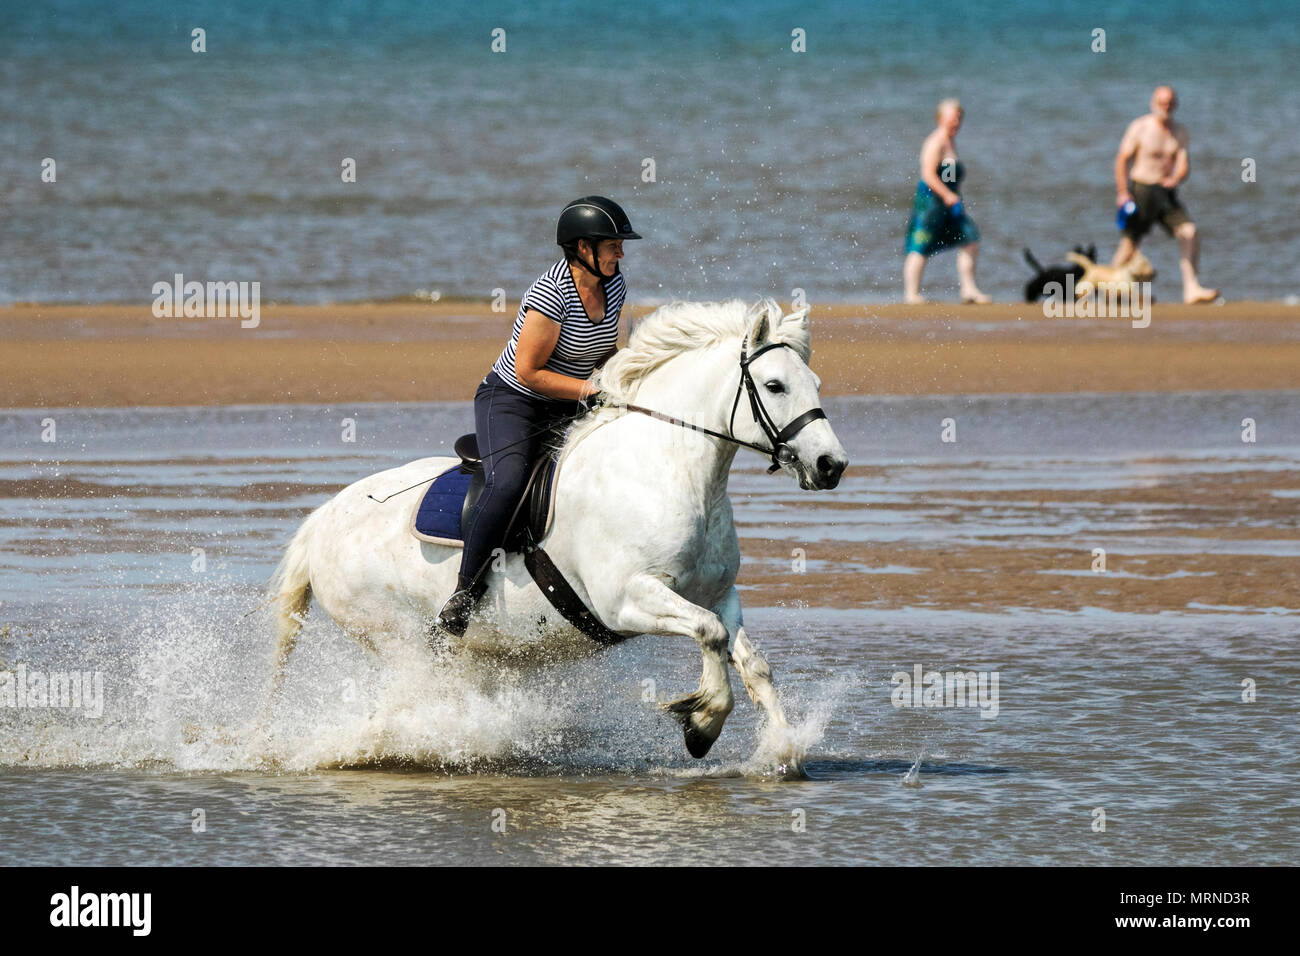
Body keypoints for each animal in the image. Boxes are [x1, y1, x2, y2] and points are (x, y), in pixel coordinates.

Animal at [269, 297, 847, 764]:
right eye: (774, 385)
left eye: (816, 384)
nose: (831, 465)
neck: (667, 468)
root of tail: (322, 522)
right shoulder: (626, 600)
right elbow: (710, 633)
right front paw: (702, 724)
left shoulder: (718, 593)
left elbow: (752, 662)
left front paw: (781, 752)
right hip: (402, 641)